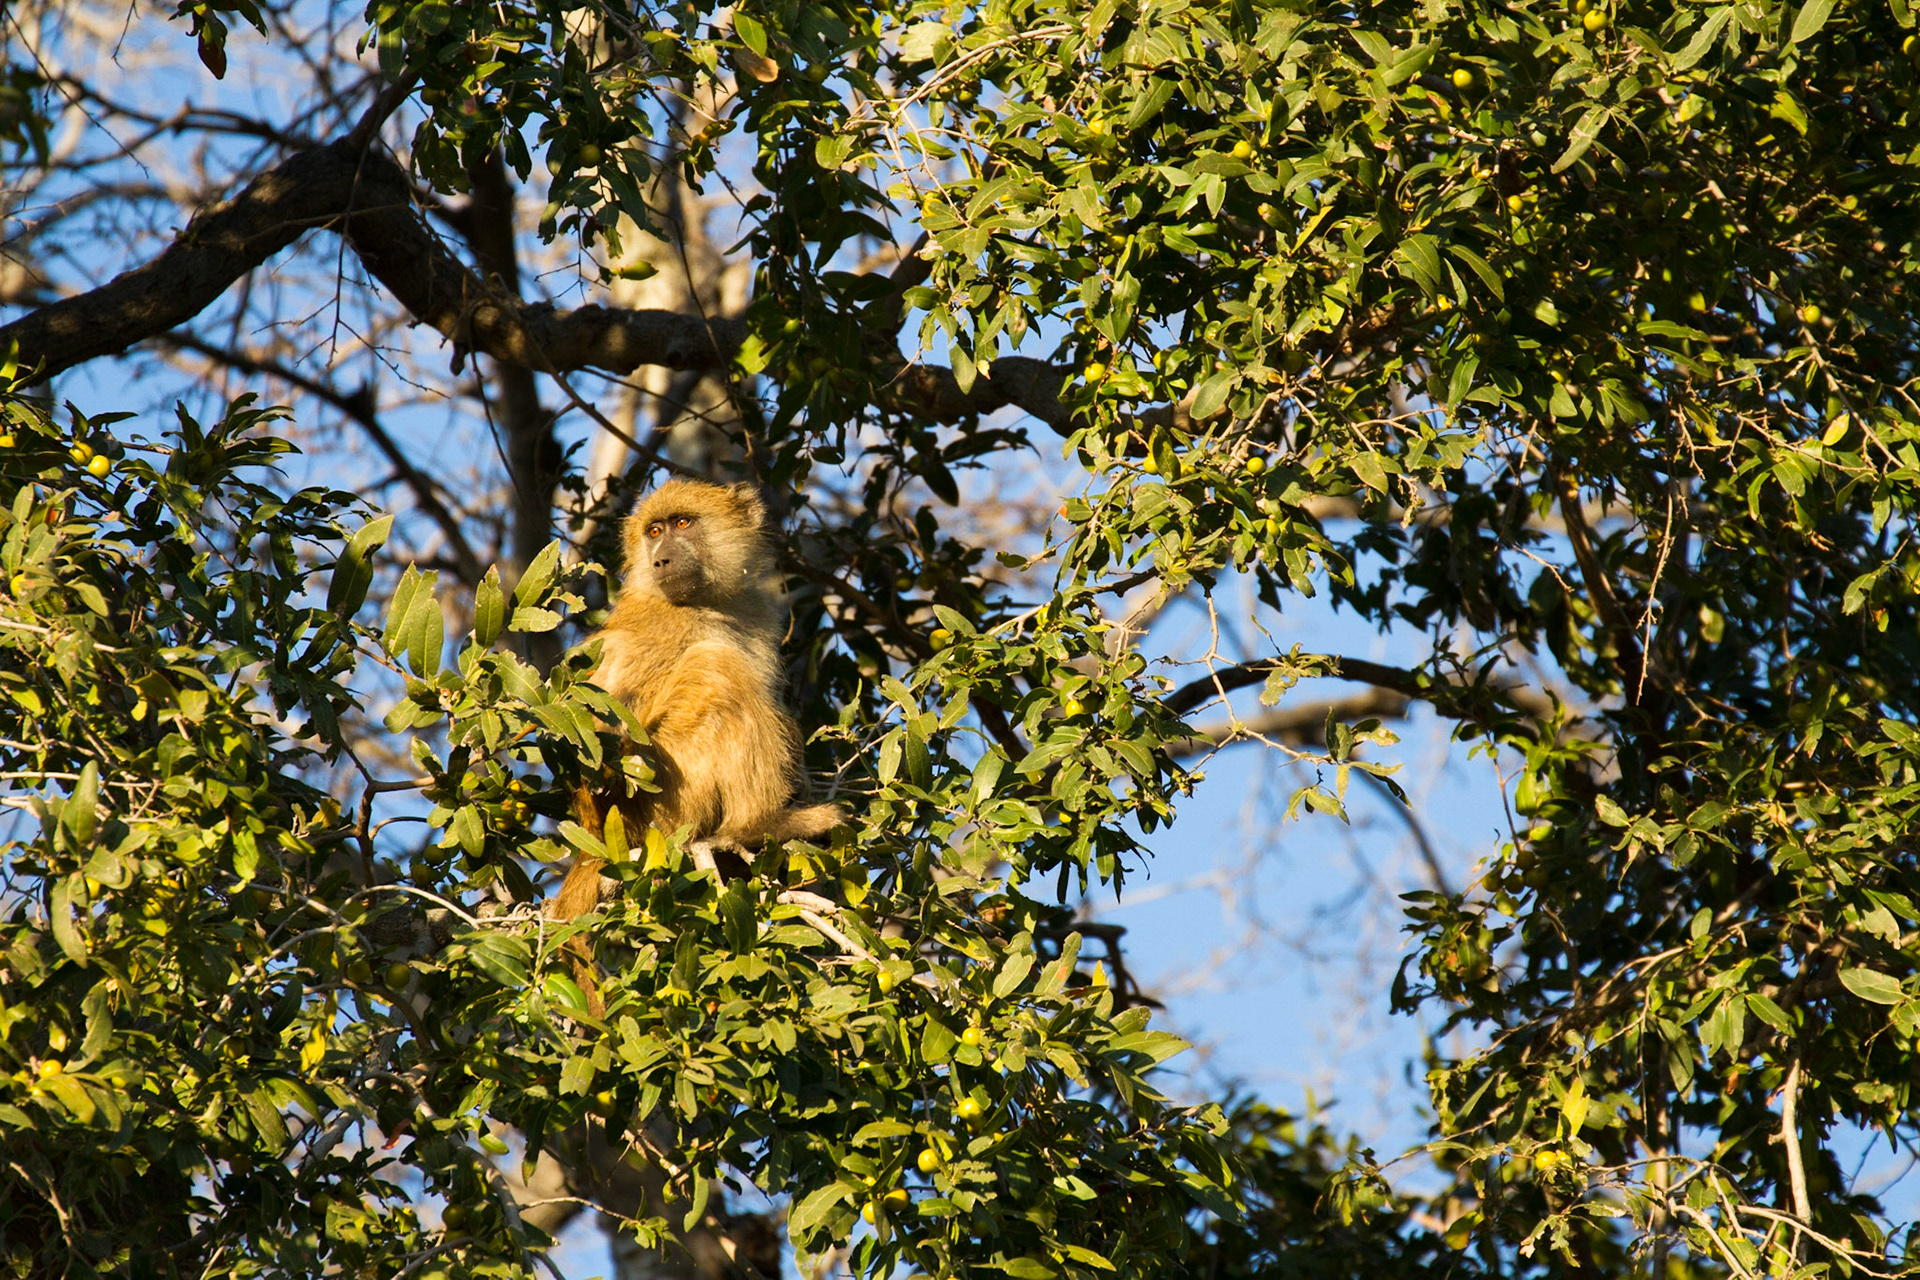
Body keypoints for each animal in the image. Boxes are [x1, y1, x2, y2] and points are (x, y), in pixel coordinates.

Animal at [553, 478, 843, 934]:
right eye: (654, 531)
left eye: (682, 523)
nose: (661, 559)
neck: (706, 604)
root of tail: (598, 841)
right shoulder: (658, 626)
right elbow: (596, 738)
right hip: (664, 808)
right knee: (715, 668)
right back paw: (757, 827)